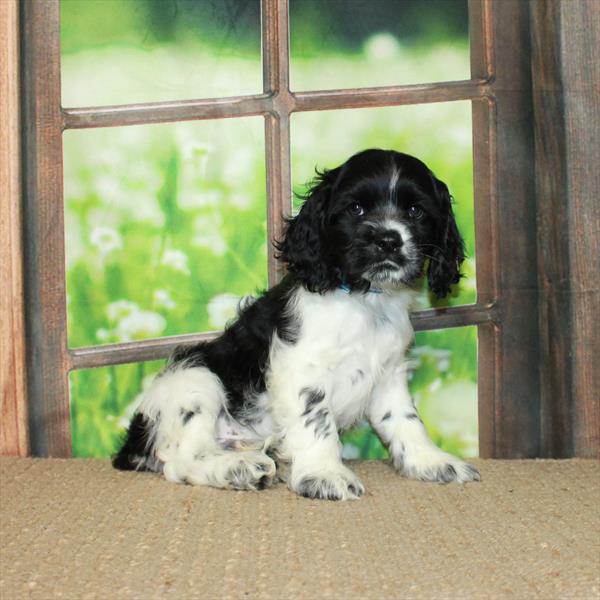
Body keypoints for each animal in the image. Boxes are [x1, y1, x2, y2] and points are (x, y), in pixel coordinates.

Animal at [111, 148, 478, 500]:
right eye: (356, 208)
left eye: (415, 211)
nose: (388, 240)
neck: (365, 300)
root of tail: (133, 443)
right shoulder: (301, 369)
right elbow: (317, 421)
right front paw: (325, 475)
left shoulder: (389, 374)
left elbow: (405, 419)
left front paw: (432, 461)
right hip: (195, 379)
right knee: (183, 459)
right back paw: (240, 468)